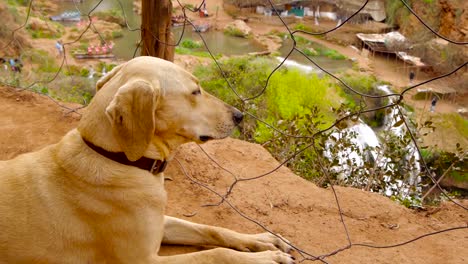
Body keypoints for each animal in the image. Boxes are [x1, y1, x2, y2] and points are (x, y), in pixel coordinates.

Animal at [0, 56, 292, 262]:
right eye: (195, 92)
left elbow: (213, 230)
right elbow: (215, 254)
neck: (118, 159)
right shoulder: (145, 260)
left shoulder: (161, 223)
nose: (239, 116)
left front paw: (262, 242)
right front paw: (266, 258)